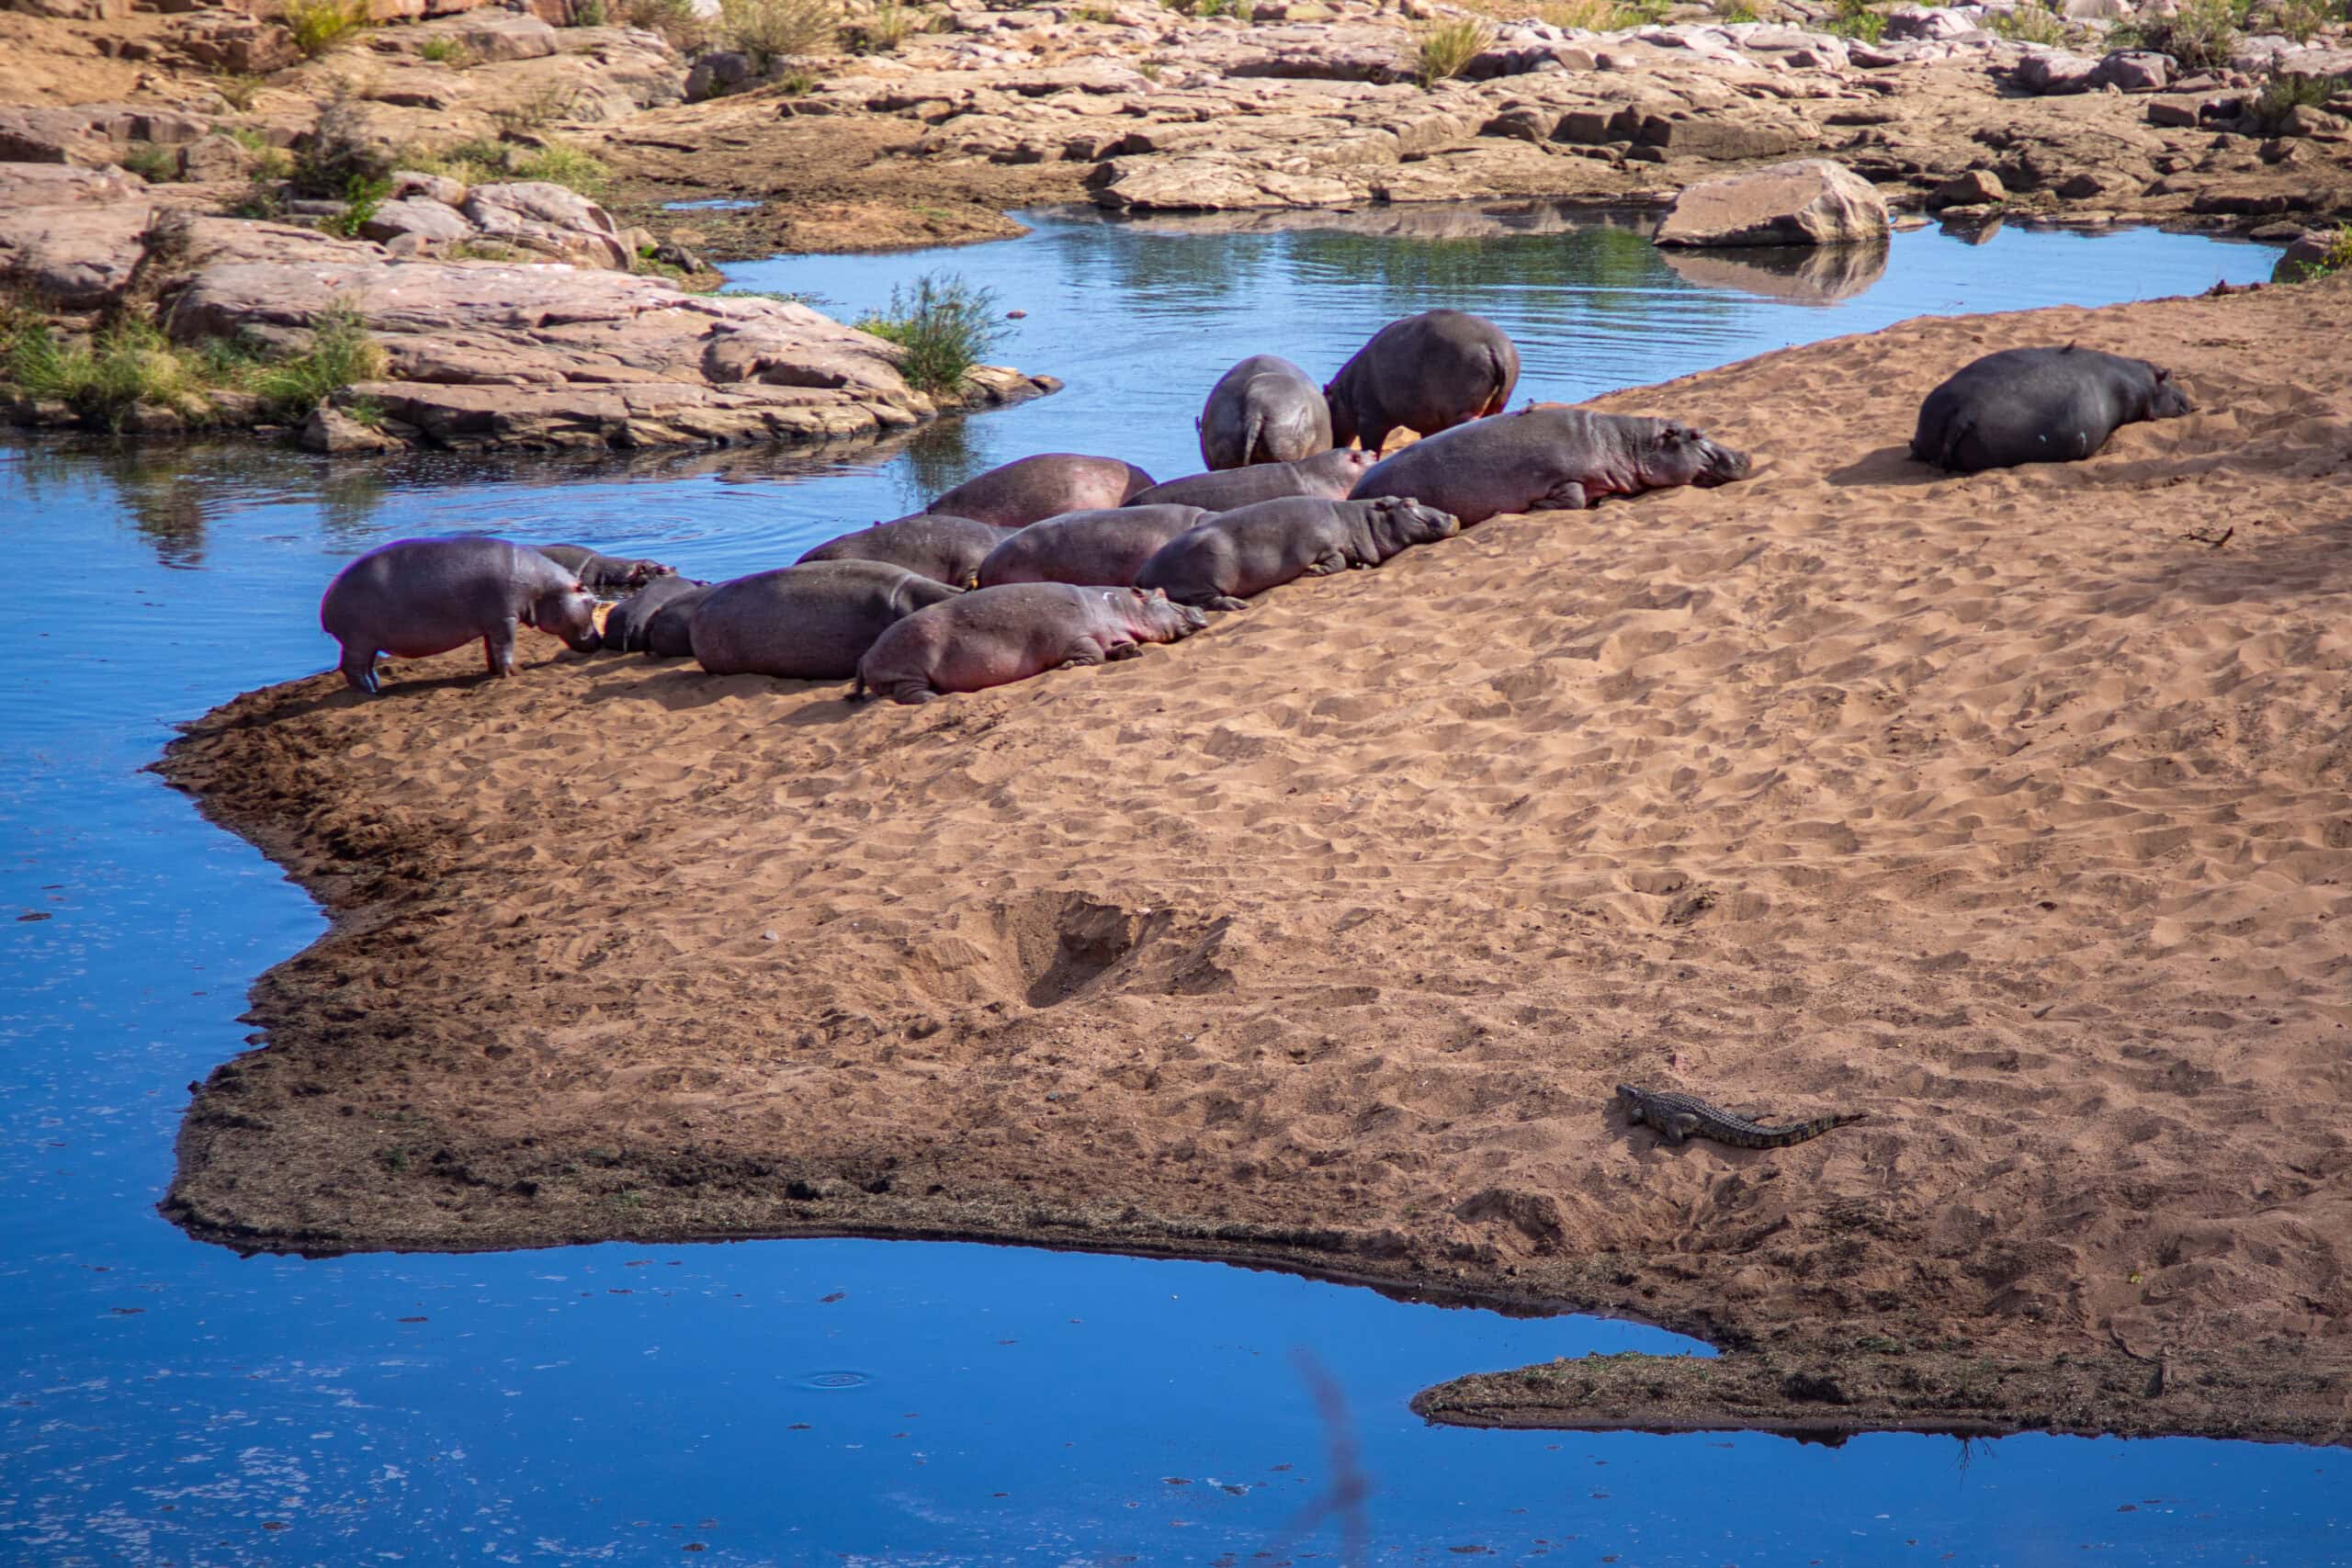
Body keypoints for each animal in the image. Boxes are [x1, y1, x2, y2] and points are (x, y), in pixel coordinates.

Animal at [320, 535, 599, 695]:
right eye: (592, 602)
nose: (599, 640)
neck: (544, 587)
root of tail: (326, 601)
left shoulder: (492, 622)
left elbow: (492, 648)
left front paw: (494, 673)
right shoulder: (505, 618)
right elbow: (506, 646)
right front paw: (515, 673)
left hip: (366, 642)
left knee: (365, 666)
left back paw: (378, 685)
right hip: (357, 640)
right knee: (352, 668)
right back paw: (371, 692)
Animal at [855, 584, 1208, 705]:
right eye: (1161, 592)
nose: (1199, 609)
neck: (1115, 607)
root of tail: (866, 655)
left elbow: (1112, 648)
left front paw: (1130, 650)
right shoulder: (1074, 636)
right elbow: (1093, 653)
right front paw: (1070, 665)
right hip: (908, 667)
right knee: (905, 693)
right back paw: (933, 697)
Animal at [1137, 496, 1460, 611]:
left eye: (1414, 498)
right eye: (1407, 504)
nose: (1452, 516)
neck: (1361, 521)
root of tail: (1142, 573)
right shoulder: (1322, 545)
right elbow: (1335, 561)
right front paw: (1313, 571)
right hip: (1206, 577)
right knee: (1206, 600)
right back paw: (1237, 605)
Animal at [1323, 310, 1520, 454]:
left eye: (1328, 408)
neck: (1344, 395)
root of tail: (1494, 346)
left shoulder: (1370, 419)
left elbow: (1371, 447)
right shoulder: (1429, 422)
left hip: (1463, 408)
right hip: (1497, 403)